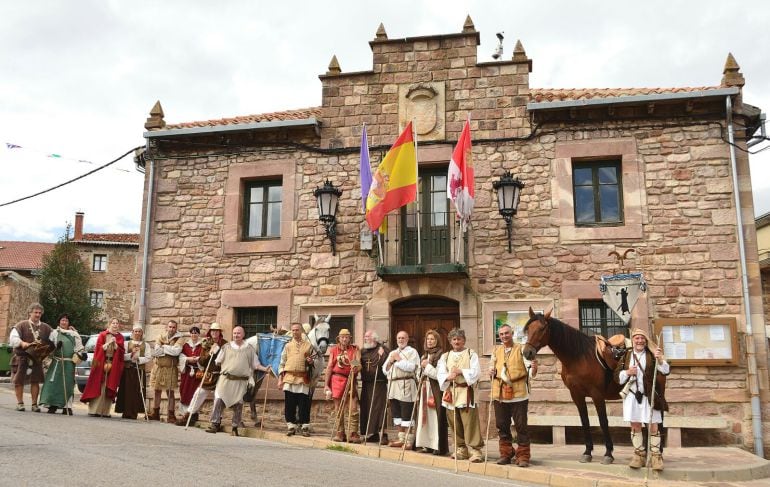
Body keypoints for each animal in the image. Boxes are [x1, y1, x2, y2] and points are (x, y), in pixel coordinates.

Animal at [520, 308, 624, 466]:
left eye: (542, 328)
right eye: (527, 329)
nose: (527, 352)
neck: (579, 357)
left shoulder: (597, 395)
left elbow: (603, 421)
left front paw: (608, 454)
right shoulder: (576, 395)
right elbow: (585, 421)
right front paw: (587, 452)